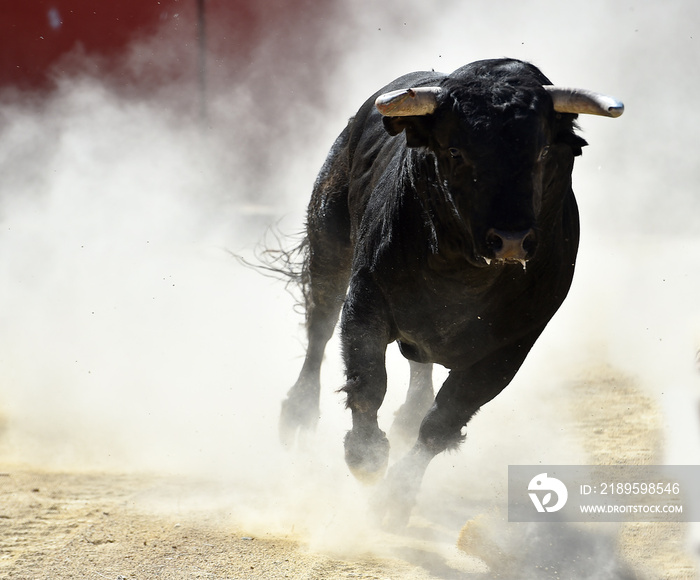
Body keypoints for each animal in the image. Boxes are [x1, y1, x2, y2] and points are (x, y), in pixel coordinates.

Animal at [276, 59, 620, 524]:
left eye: (543, 153)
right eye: (456, 152)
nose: (511, 241)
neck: (462, 272)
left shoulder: (509, 349)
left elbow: (444, 419)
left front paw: (396, 497)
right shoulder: (365, 300)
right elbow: (368, 382)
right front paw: (366, 459)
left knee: (418, 365)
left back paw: (405, 417)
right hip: (328, 238)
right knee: (319, 326)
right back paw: (298, 416)